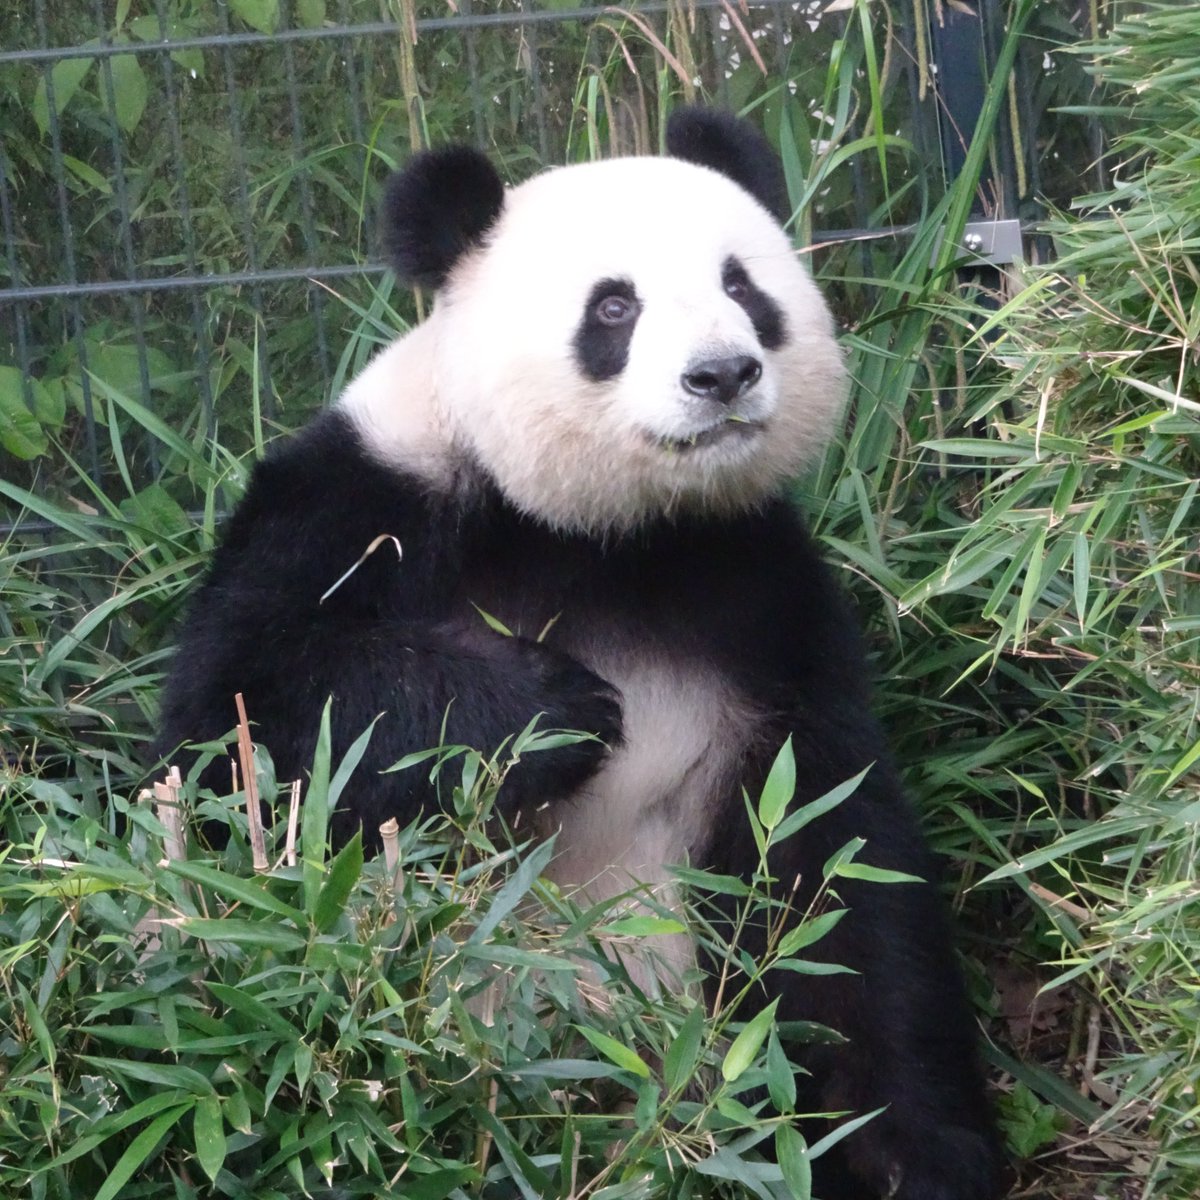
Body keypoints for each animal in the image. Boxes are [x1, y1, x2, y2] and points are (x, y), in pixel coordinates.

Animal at [157, 108, 1004, 1200]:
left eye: (743, 286)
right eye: (613, 306)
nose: (722, 375)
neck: (610, 532)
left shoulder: (760, 589)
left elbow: (833, 863)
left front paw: (915, 1156)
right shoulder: (363, 503)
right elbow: (244, 722)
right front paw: (557, 714)